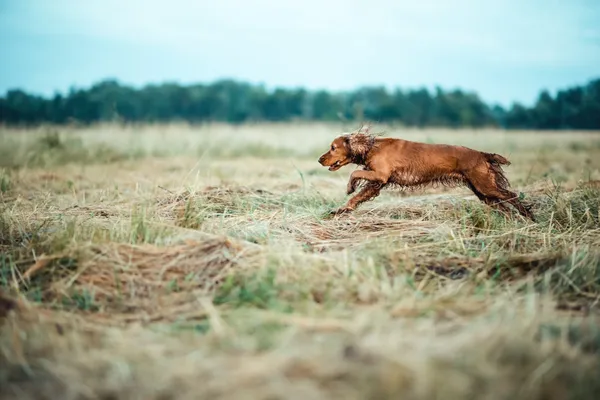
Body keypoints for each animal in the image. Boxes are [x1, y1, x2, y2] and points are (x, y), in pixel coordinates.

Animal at [318, 129, 536, 220]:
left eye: (333, 148)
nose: (320, 160)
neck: (371, 147)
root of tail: (481, 154)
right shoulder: (376, 183)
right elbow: (356, 198)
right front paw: (341, 210)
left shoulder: (380, 175)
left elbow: (355, 172)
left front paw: (349, 187)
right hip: (483, 192)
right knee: (504, 206)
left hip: (485, 186)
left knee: (512, 196)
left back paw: (529, 216)